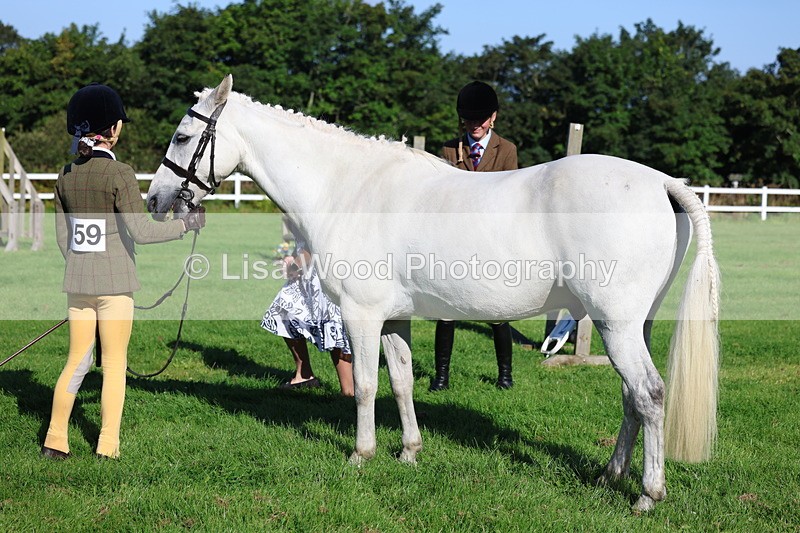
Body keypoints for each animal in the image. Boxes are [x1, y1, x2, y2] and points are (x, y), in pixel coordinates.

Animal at [147, 75, 719, 511]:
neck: (346, 187)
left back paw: (647, 494)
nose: (154, 199)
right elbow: (401, 383)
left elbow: (367, 386)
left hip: (616, 324)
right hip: (629, 325)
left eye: (182, 136)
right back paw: (610, 475)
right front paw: (409, 452)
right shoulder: (393, 319)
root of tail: (660, 182)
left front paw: (361, 455)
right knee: (630, 396)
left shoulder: (361, 315)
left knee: (649, 394)